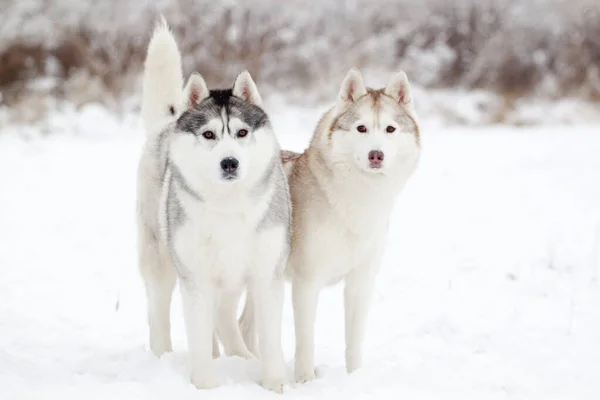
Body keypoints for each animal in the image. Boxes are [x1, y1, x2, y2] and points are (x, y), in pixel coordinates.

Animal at [139, 20, 292, 392]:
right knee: (159, 315)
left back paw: (240, 357)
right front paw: (205, 386)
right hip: (160, 262)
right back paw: (163, 360)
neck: (228, 207)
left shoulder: (267, 273)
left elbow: (269, 338)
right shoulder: (194, 277)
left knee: (224, 318)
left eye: (241, 132)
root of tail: (167, 123)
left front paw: (274, 384)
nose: (229, 163)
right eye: (209, 134)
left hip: (232, 277)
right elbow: (196, 334)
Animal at [238, 68, 418, 382]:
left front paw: (355, 378)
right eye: (361, 128)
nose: (376, 155)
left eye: (390, 129)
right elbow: (305, 342)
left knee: (245, 327)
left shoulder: (361, 282)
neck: (355, 201)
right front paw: (305, 381)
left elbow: (354, 342)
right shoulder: (306, 284)